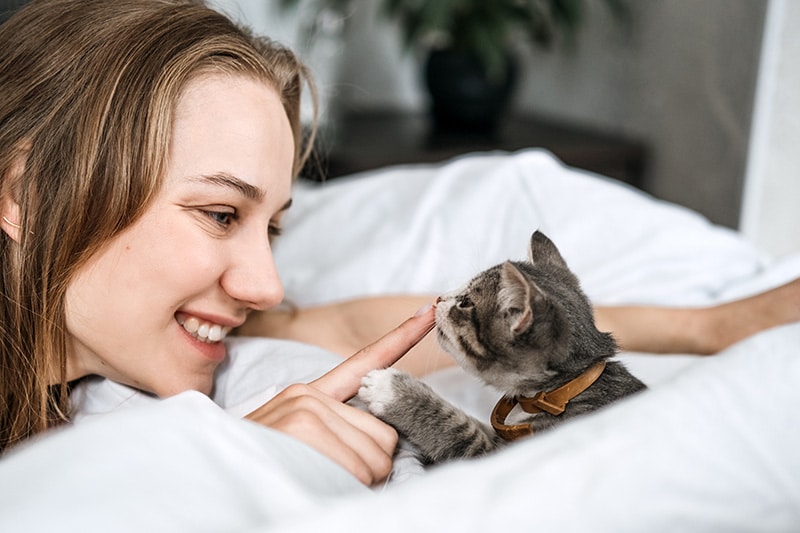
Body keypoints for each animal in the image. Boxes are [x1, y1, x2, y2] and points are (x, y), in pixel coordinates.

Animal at [360, 231, 648, 464]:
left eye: (465, 303)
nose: (440, 297)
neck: (562, 391)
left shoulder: (501, 454)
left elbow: (462, 430)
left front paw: (392, 390)